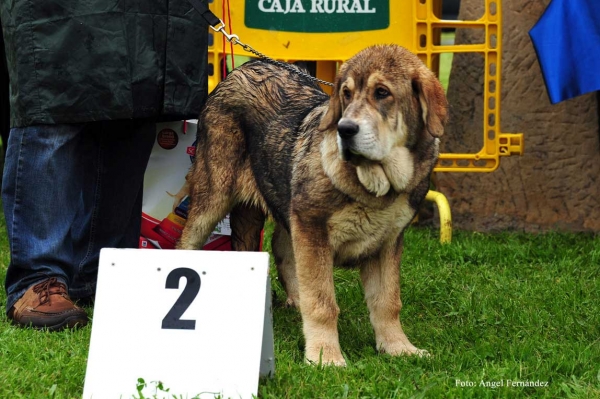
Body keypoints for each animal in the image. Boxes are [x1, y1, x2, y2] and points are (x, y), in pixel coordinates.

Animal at [178, 43, 446, 366]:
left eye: (382, 93)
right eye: (346, 94)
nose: (345, 129)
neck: (375, 186)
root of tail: (239, 70)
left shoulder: (387, 242)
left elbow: (388, 302)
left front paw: (398, 347)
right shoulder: (312, 229)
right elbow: (322, 301)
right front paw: (325, 356)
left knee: (282, 249)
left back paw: (293, 301)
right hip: (213, 196)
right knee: (187, 243)